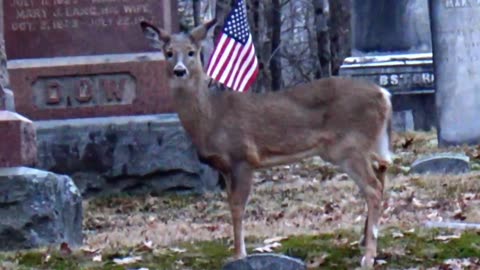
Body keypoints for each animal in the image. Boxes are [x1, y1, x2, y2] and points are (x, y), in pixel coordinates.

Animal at [141, 19, 392, 268]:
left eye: (191, 52)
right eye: (168, 52)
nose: (179, 70)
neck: (212, 117)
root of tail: (384, 95)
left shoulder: (243, 157)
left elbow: (238, 207)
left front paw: (239, 255)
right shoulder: (225, 168)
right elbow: (231, 204)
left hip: (349, 146)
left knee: (373, 188)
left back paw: (368, 257)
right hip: (365, 144)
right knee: (381, 173)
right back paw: (363, 240)